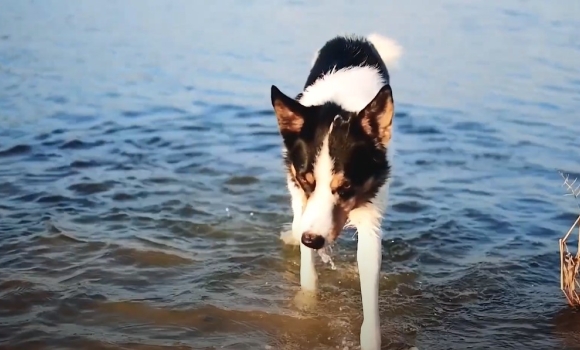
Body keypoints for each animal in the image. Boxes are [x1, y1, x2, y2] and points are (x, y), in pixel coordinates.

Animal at [268, 33, 402, 350]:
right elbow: (308, 274)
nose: (313, 240)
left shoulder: (370, 215)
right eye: (307, 181)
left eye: (347, 186)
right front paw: (306, 310)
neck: (339, 112)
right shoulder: (302, 198)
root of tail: (352, 38)